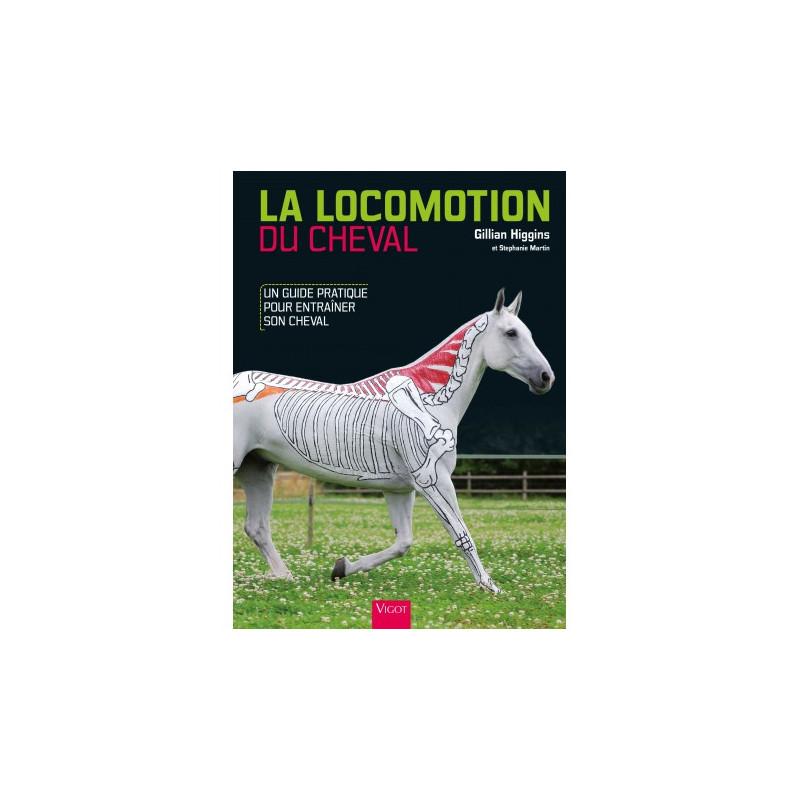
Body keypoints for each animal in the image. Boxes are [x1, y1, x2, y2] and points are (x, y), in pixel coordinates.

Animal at [233, 288, 554, 593]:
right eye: (511, 333)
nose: (546, 378)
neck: (433, 401)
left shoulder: (399, 489)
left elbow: (403, 543)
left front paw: (341, 568)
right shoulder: (432, 481)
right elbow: (461, 535)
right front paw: (490, 586)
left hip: (258, 468)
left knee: (257, 527)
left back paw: (285, 577)